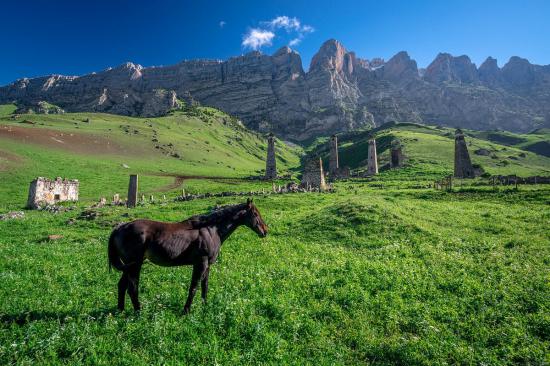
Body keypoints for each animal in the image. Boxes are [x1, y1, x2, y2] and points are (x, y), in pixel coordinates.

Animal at [108, 199, 270, 314]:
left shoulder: (208, 265)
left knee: (122, 286)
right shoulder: (200, 263)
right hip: (135, 265)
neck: (211, 230)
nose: (265, 231)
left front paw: (205, 306)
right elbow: (194, 287)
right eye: (255, 214)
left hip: (128, 267)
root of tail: (119, 228)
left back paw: (120, 311)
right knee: (132, 288)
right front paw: (186, 310)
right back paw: (138, 312)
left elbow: (205, 286)